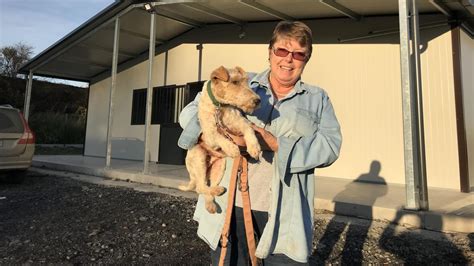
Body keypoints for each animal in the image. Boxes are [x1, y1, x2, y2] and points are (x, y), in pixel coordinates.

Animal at [179, 66, 262, 214]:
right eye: (235, 82)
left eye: (246, 81)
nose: (258, 100)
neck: (219, 106)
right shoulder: (209, 132)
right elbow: (220, 137)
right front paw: (233, 149)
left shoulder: (240, 122)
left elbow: (249, 130)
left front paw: (254, 148)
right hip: (199, 157)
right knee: (200, 187)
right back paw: (217, 192)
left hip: (219, 167)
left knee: (206, 188)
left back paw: (212, 202)